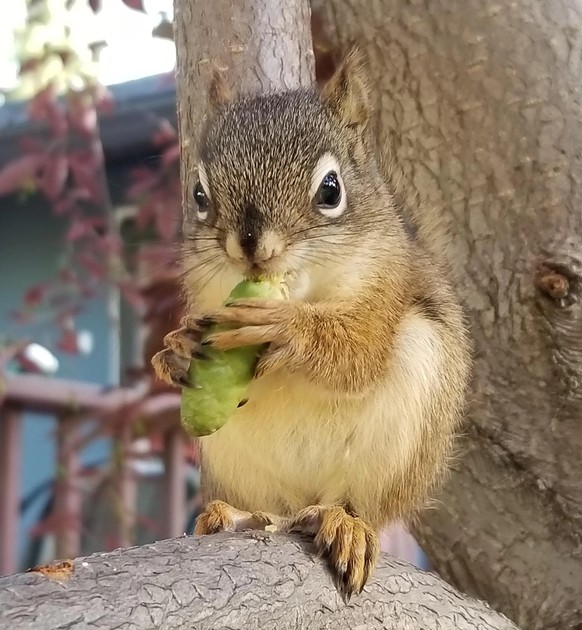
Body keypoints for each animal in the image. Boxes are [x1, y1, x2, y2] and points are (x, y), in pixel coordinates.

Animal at [153, 45, 472, 604]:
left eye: (331, 189)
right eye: (198, 194)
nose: (251, 245)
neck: (302, 290)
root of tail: (297, 508)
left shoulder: (384, 292)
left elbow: (359, 353)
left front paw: (284, 328)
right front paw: (177, 349)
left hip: (393, 449)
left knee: (352, 504)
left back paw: (344, 524)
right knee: (266, 507)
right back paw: (228, 515)